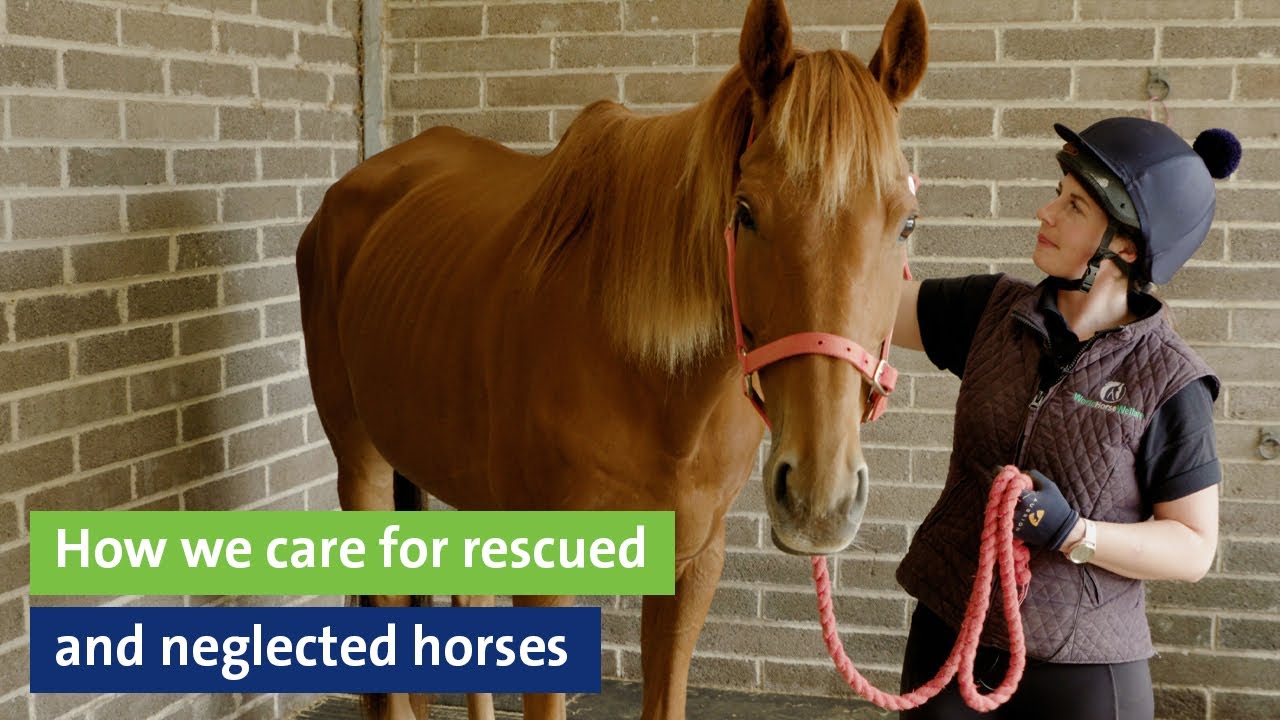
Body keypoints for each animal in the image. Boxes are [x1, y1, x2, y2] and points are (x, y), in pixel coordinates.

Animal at [295, 0, 928, 717]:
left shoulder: (693, 561)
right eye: (745, 212)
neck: (658, 390)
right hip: (362, 466)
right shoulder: (546, 577)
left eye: (906, 222)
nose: (820, 500)